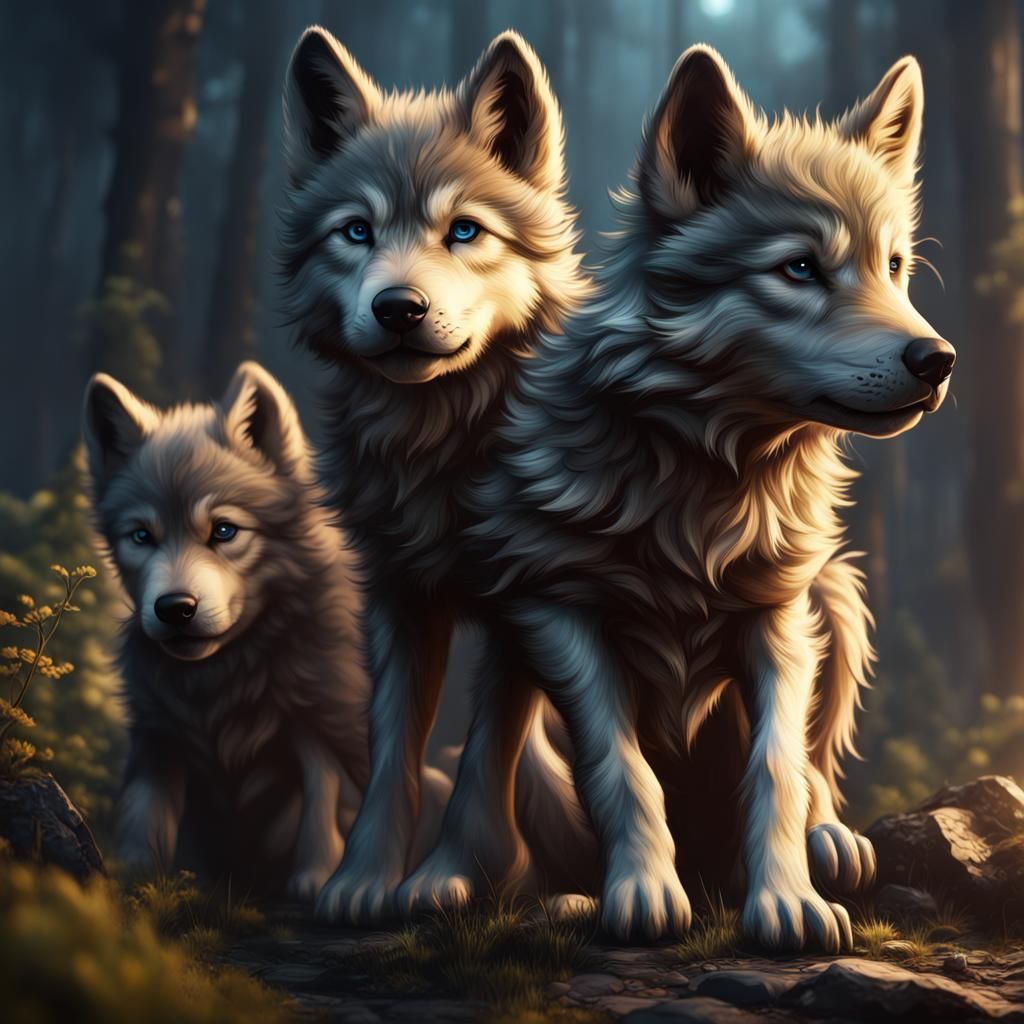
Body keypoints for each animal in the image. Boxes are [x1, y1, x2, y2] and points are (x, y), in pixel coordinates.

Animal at [83, 361, 450, 897]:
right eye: (142, 536)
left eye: (224, 531)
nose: (175, 608)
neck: (222, 679)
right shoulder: (157, 740)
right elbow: (142, 816)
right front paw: (133, 882)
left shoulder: (318, 725)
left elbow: (322, 803)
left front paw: (316, 879)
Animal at [277, 26, 592, 922]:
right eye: (357, 232)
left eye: (464, 232)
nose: (399, 309)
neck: (443, 448)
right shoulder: (398, 595)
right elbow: (392, 751)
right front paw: (360, 882)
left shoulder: (528, 600)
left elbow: (487, 750)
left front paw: (451, 876)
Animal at [407, 48, 954, 948]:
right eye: (800, 268)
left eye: (895, 267)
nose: (937, 359)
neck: (706, 486)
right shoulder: (556, 614)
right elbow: (621, 768)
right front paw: (642, 894)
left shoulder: (779, 620)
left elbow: (778, 768)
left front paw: (788, 903)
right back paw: (531, 893)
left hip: (836, 594)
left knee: (817, 768)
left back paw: (830, 843)